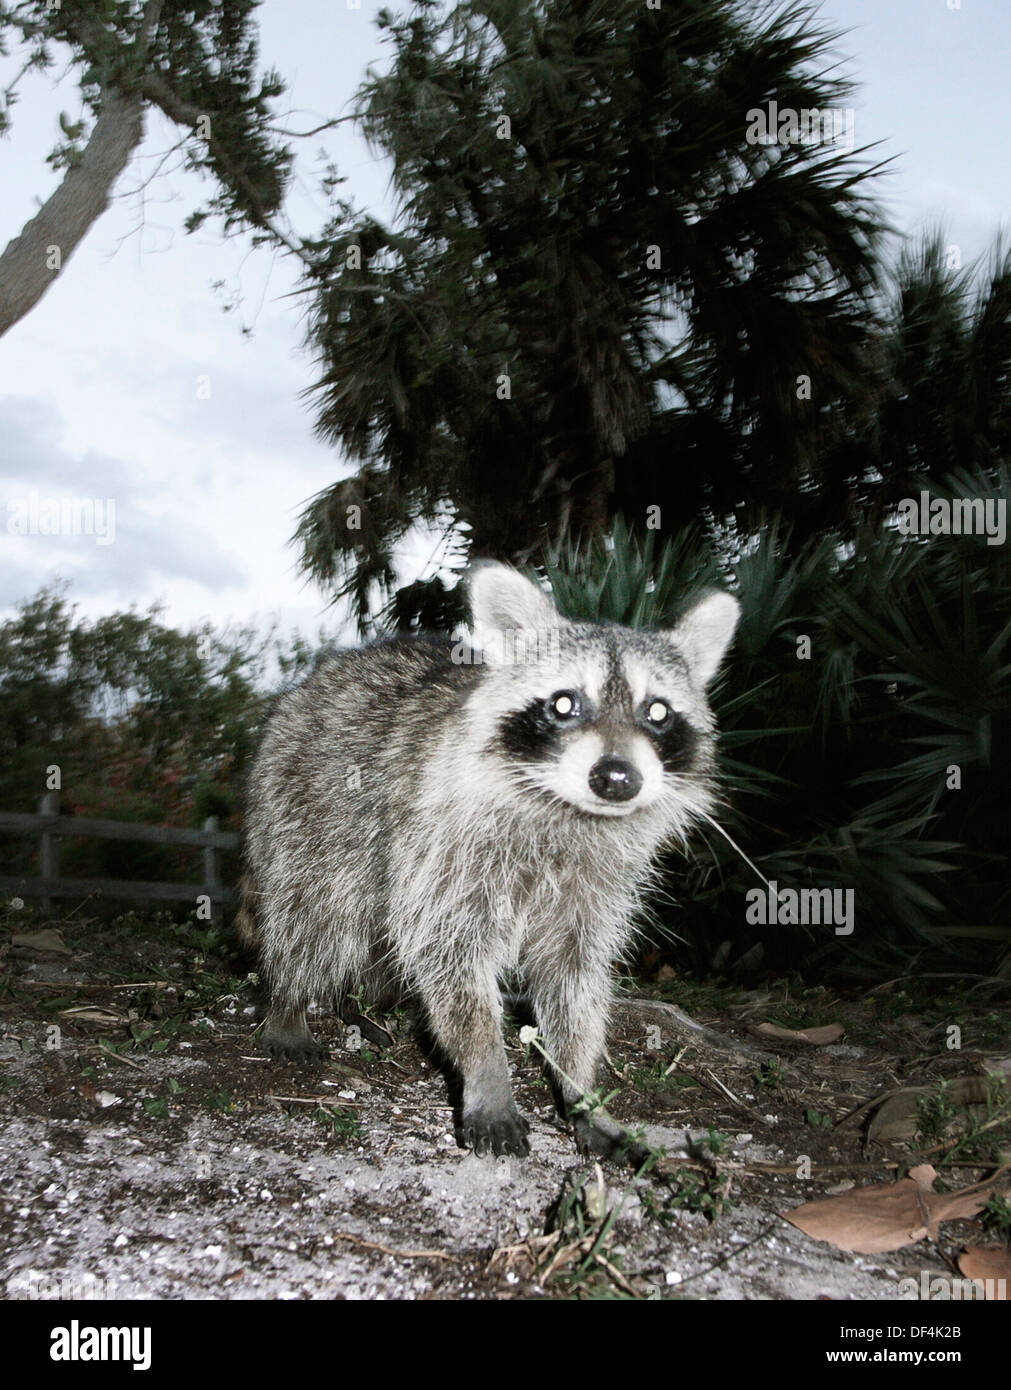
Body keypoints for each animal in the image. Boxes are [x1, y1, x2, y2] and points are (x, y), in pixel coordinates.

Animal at [239, 563, 738, 1159]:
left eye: (657, 711)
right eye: (564, 704)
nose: (617, 778)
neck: (568, 814)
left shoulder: (596, 881)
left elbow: (574, 978)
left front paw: (581, 1089)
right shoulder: (448, 845)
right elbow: (451, 959)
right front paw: (488, 1073)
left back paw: (358, 1001)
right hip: (306, 807)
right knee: (315, 916)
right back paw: (290, 1002)